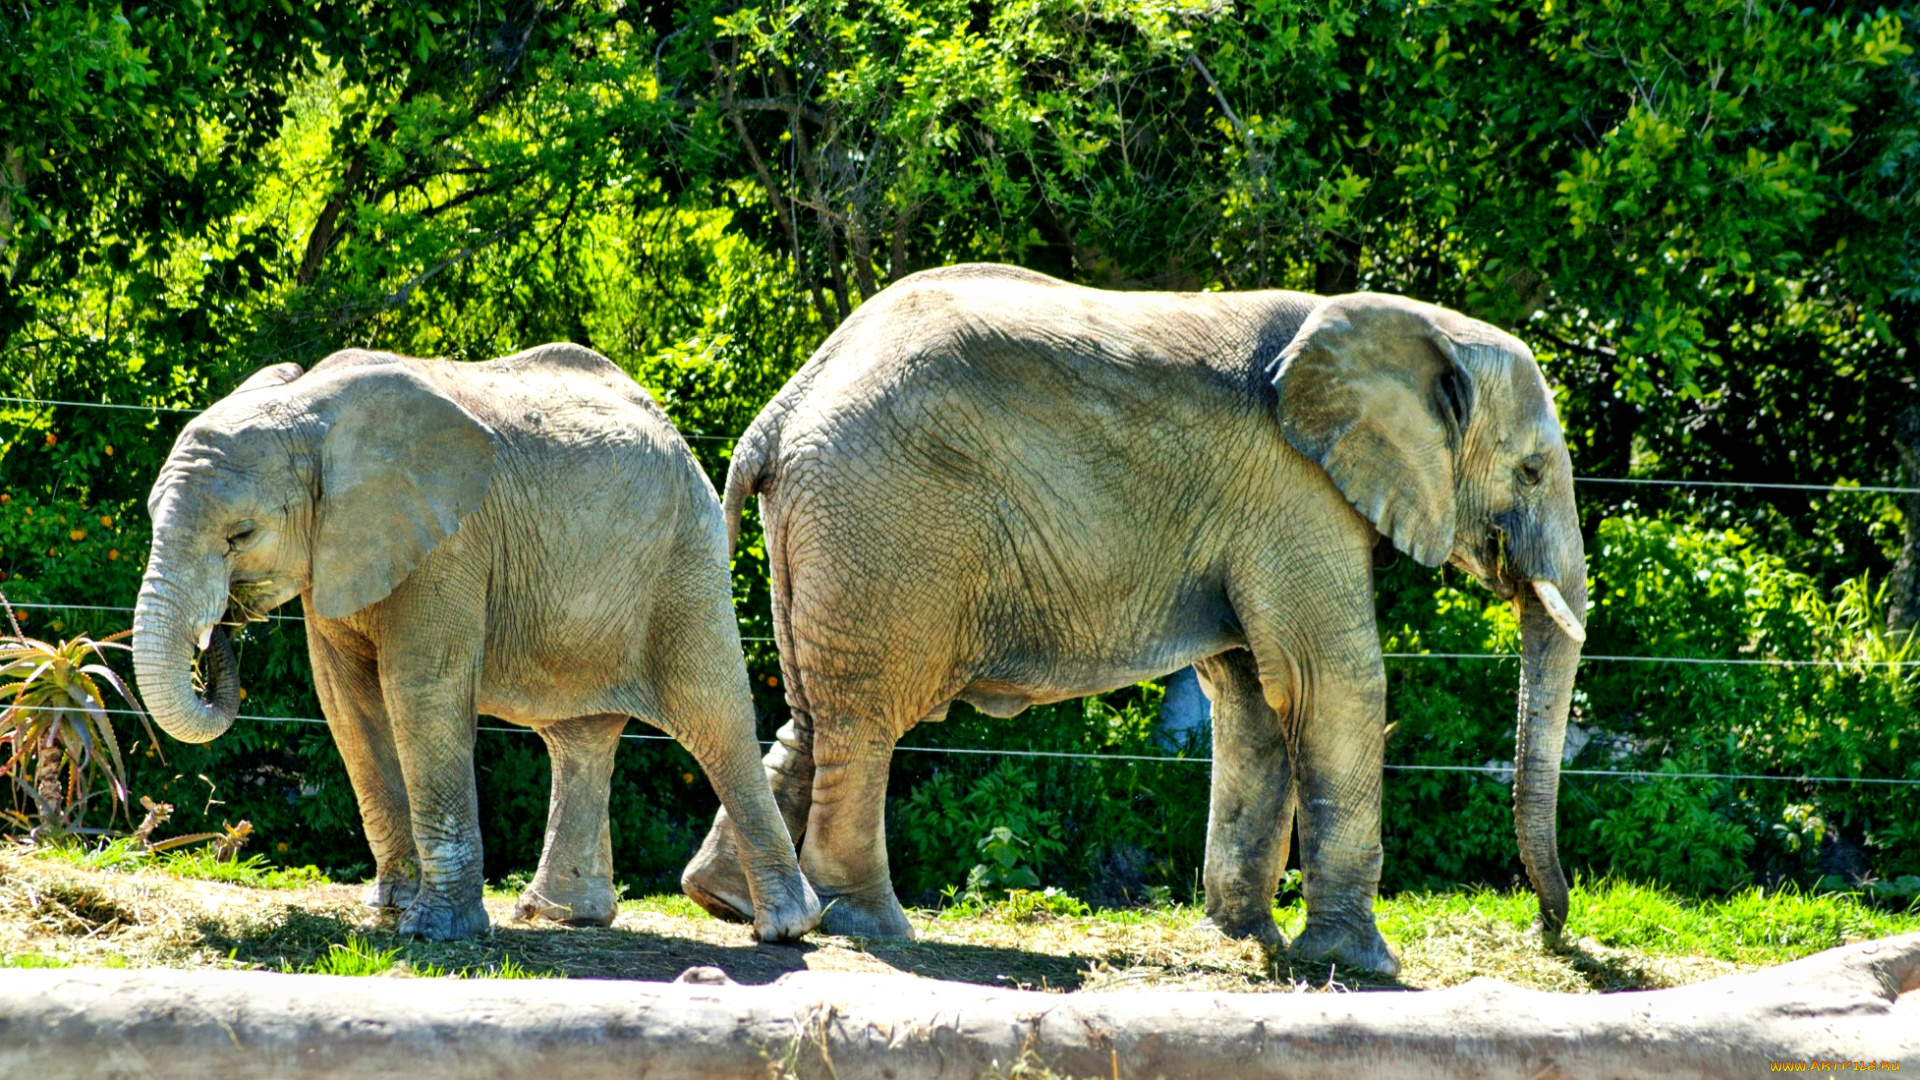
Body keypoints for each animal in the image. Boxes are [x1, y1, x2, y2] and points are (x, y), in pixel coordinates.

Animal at [133, 340, 825, 937]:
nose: (225, 625)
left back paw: (784, 928)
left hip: (685, 563)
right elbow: (347, 703)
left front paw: (432, 931)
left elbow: (421, 689)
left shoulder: (451, 542)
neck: (311, 413)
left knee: (714, 717)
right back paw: (561, 916)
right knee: (581, 737)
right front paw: (391, 905)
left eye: (241, 535)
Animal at [679, 265, 1589, 972]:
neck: (1416, 324)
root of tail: (780, 412)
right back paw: (872, 925)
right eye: (1532, 471)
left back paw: (730, 902)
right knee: (867, 718)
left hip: (836, 533)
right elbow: (1331, 682)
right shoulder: (1296, 491)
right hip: (885, 521)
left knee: (812, 709)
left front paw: (1247, 940)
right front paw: (1362, 966)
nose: (1552, 934)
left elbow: (1254, 697)